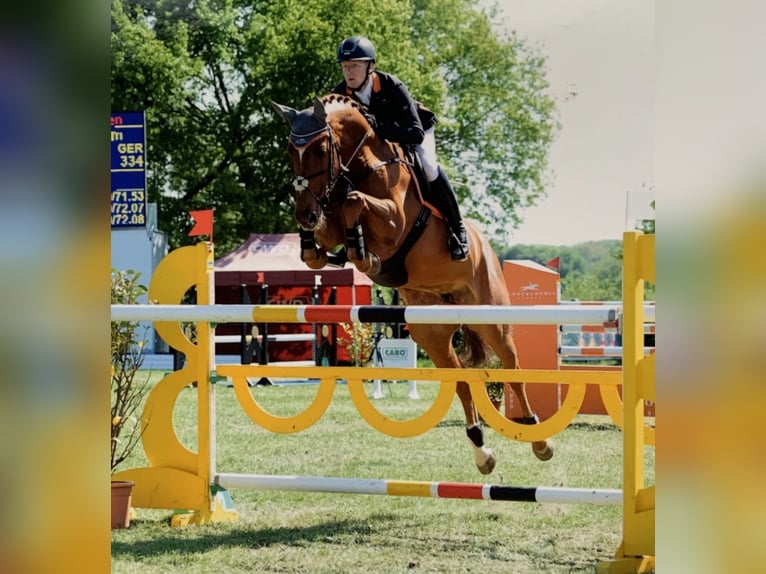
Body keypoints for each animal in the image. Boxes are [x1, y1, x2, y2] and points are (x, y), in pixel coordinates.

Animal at [272, 92, 556, 474]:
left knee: (513, 368)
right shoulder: (331, 219)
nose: (305, 212)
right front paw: (322, 243)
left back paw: (538, 440)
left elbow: (355, 203)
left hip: (493, 320)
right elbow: (326, 238)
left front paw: (364, 254)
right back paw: (482, 452)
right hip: (432, 332)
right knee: (460, 380)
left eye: (319, 149)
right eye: (291, 149)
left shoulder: (394, 222)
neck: (361, 165)